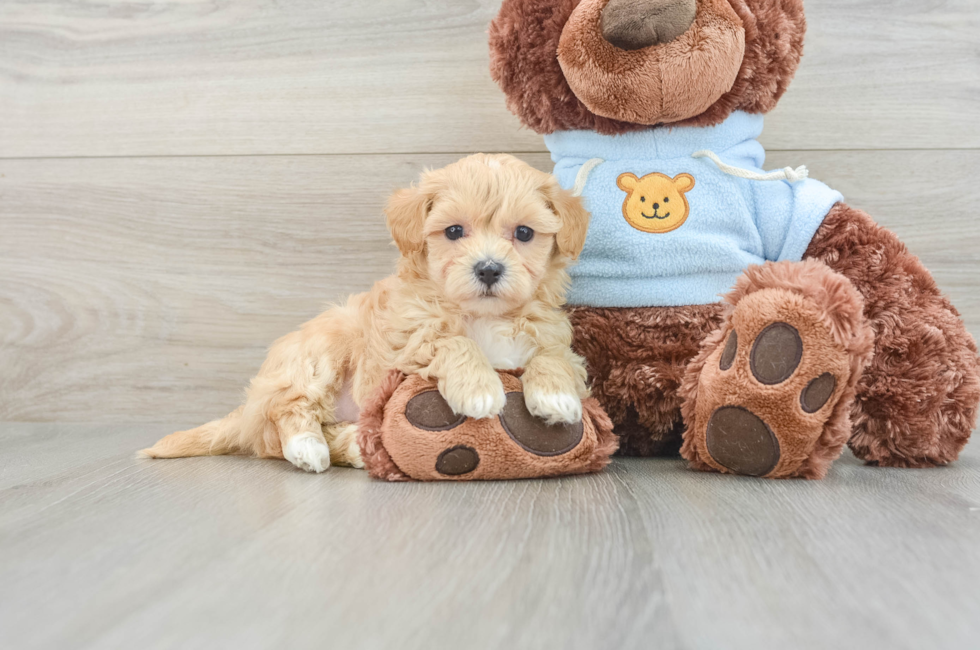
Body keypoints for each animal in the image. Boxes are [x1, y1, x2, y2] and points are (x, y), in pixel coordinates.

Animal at [143, 153, 592, 470]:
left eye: (524, 233)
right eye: (453, 231)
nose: (488, 268)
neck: (485, 315)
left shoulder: (553, 336)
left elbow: (554, 357)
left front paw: (556, 397)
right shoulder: (406, 341)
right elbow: (450, 342)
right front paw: (478, 388)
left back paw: (357, 447)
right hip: (321, 349)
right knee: (287, 411)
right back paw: (308, 447)